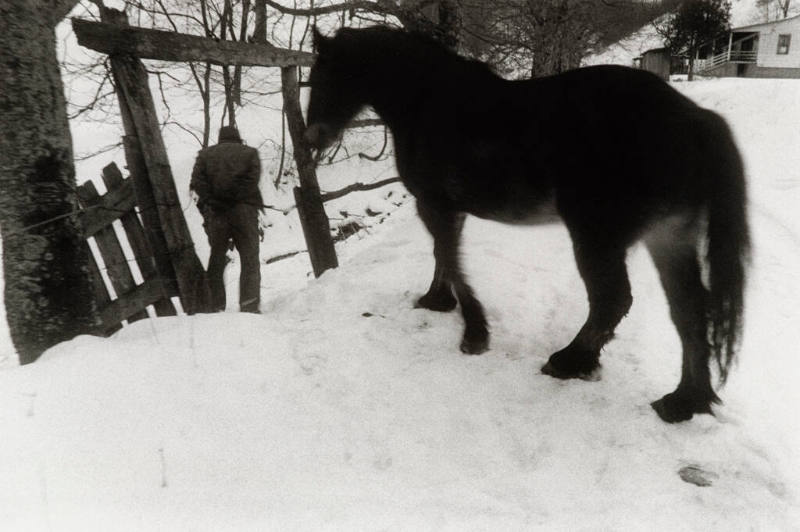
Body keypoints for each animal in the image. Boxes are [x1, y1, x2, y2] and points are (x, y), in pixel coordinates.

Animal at [304, 27, 752, 424]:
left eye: (324, 75)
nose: (311, 139)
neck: (428, 101)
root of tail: (695, 120)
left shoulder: (435, 205)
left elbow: (450, 258)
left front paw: (474, 333)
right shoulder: (450, 210)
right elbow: (444, 257)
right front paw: (438, 301)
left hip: (596, 236)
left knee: (613, 300)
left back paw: (571, 362)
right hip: (669, 238)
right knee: (689, 311)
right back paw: (684, 401)